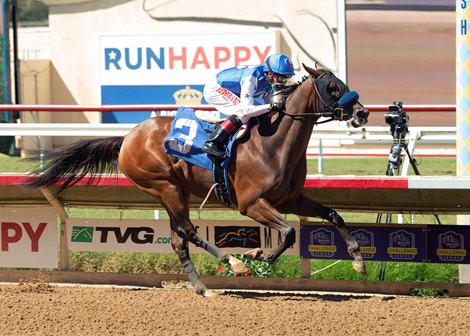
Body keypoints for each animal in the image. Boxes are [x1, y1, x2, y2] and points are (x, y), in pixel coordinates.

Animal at [27, 63, 370, 296]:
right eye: (332, 87)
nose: (362, 113)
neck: (273, 144)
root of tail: (126, 138)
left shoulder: (291, 199)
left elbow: (333, 215)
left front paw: (357, 259)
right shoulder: (250, 204)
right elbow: (287, 233)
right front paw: (258, 256)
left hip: (172, 191)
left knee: (178, 239)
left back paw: (204, 288)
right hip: (165, 186)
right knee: (188, 231)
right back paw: (234, 262)